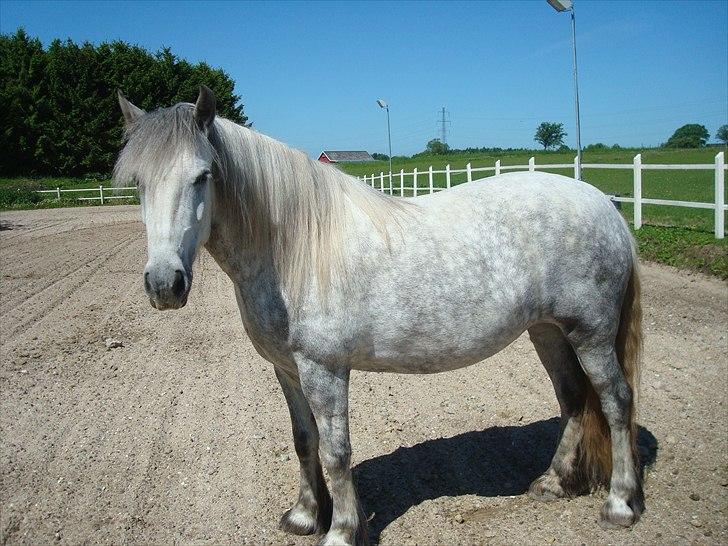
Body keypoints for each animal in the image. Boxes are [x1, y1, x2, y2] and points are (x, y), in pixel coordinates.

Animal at [114, 86, 644, 546]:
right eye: (138, 183)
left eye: (203, 175)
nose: (164, 285)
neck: (294, 249)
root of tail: (606, 207)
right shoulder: (287, 369)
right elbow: (303, 440)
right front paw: (305, 516)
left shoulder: (325, 370)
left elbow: (336, 451)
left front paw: (342, 530)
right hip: (548, 332)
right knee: (573, 398)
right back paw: (552, 483)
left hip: (591, 333)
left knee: (616, 401)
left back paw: (620, 504)